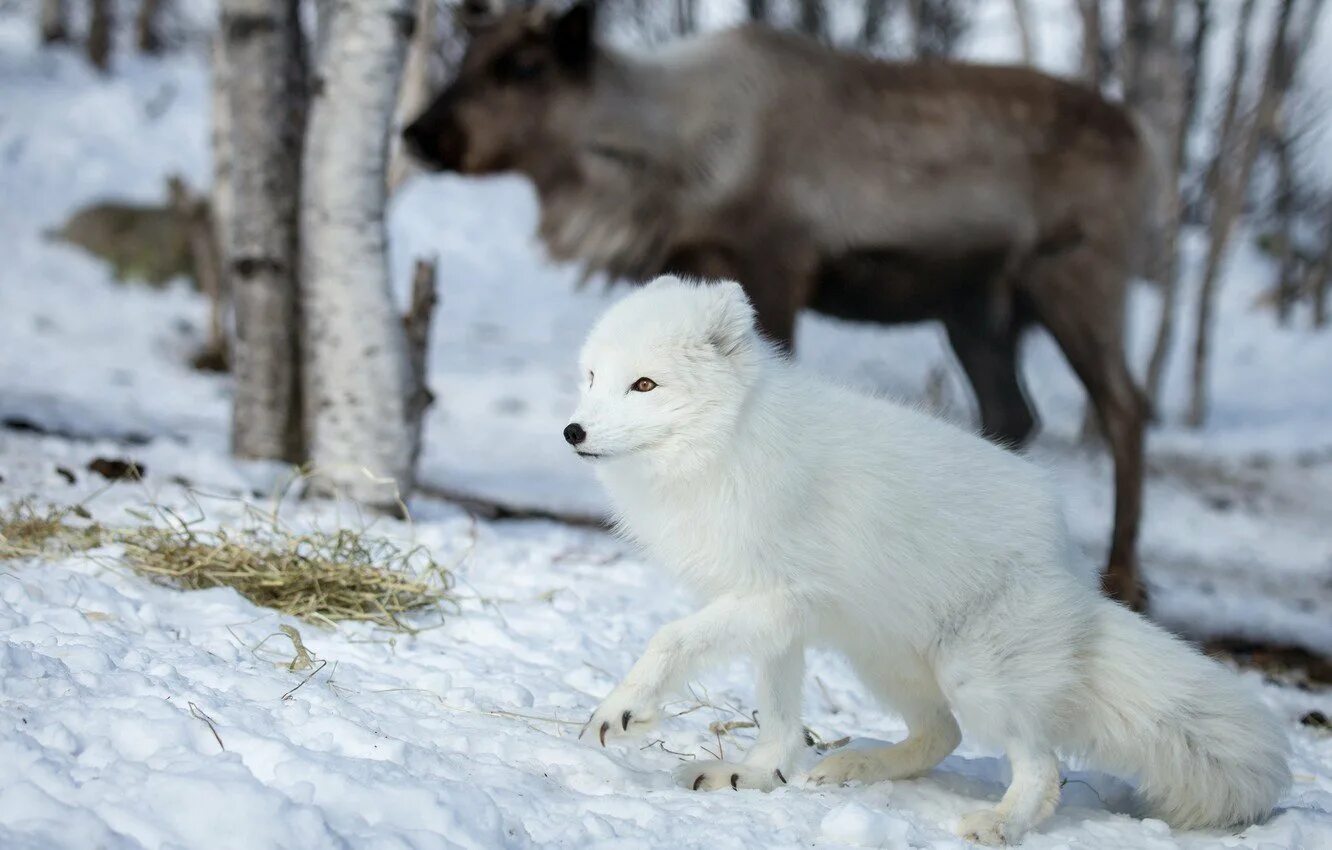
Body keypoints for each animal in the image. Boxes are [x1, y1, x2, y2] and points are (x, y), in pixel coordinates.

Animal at [564, 278, 1289, 847]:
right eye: (593, 378)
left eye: (645, 385)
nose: (574, 431)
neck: (724, 451)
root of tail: (1078, 576)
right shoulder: (778, 620)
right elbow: (778, 712)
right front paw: (759, 772)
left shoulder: (777, 595)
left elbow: (668, 640)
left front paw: (622, 711)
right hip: (883, 660)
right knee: (944, 737)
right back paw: (855, 769)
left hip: (976, 676)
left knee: (1041, 767)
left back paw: (1000, 823)